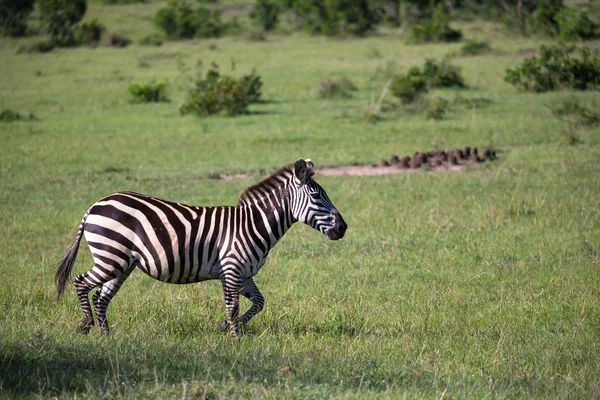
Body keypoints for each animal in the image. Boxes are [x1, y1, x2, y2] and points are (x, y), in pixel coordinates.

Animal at [57, 159, 346, 338]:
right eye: (316, 195)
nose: (343, 228)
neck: (253, 224)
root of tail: (96, 204)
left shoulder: (244, 274)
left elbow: (258, 303)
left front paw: (225, 328)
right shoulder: (231, 269)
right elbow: (233, 307)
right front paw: (233, 338)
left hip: (122, 263)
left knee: (101, 296)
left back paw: (107, 335)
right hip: (110, 255)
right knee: (81, 282)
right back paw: (85, 326)